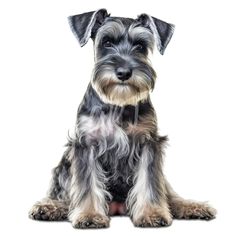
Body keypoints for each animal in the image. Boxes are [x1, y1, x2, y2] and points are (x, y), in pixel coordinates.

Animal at [28, 9, 217, 229]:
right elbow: (86, 185)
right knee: (67, 198)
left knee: (170, 195)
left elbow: (150, 184)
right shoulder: (86, 145)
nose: (124, 72)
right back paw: (50, 207)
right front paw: (89, 215)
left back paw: (193, 207)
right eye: (107, 42)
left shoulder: (148, 144)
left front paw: (152, 213)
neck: (117, 104)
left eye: (140, 46)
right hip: (63, 168)